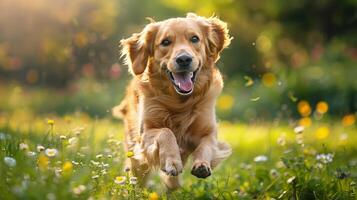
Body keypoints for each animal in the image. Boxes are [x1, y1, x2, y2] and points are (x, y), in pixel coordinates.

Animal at [112, 12, 232, 189]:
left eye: (194, 39)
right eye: (165, 42)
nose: (184, 59)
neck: (179, 103)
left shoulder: (209, 132)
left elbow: (206, 146)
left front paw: (202, 164)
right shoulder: (145, 134)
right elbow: (165, 132)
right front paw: (172, 162)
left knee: (173, 184)